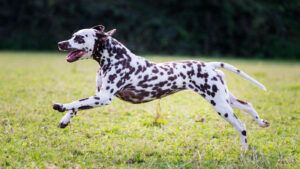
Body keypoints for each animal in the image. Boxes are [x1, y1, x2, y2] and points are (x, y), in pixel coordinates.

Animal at [54, 24, 270, 149]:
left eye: (79, 38)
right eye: (72, 36)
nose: (60, 43)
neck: (114, 58)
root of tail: (210, 65)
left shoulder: (103, 98)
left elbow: (75, 102)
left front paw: (61, 106)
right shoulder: (98, 95)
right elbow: (77, 107)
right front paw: (65, 119)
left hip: (221, 106)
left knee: (241, 127)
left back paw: (243, 150)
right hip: (225, 99)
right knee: (248, 105)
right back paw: (261, 123)